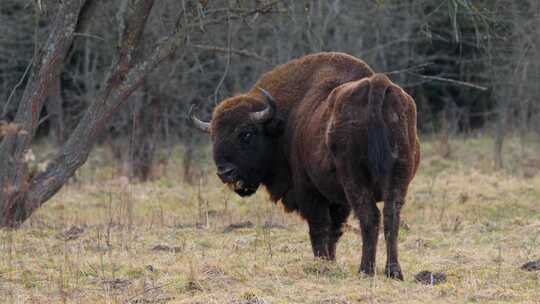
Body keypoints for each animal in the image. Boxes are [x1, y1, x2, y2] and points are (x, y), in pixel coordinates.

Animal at [191, 52, 422, 280]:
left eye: (246, 133)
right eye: (213, 136)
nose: (225, 172)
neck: (284, 123)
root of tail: (377, 84)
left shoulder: (311, 192)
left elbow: (319, 228)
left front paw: (322, 265)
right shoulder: (336, 199)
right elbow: (334, 230)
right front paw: (330, 262)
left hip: (355, 180)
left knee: (370, 217)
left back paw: (365, 270)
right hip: (398, 177)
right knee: (391, 217)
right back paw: (393, 272)